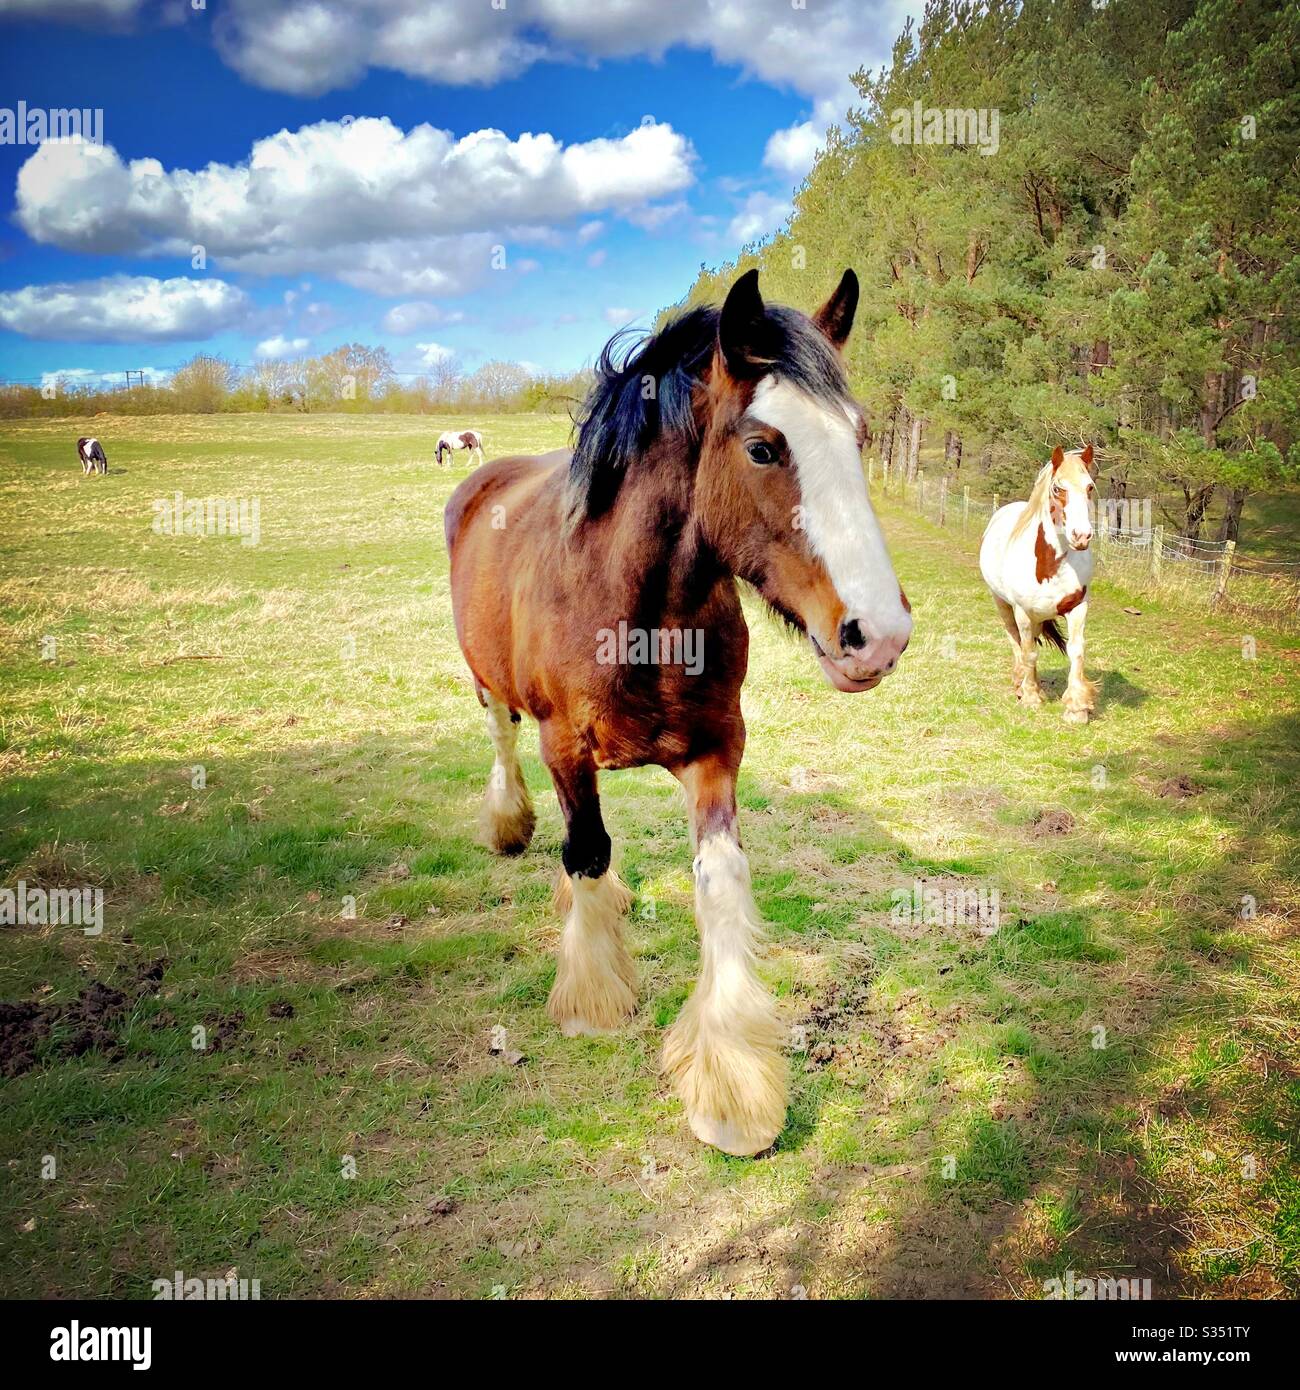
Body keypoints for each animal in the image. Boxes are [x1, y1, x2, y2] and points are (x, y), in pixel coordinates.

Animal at [445, 268, 912, 1155]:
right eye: (763, 447)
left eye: (860, 437)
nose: (880, 635)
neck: (635, 607)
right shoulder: (565, 746)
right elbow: (587, 847)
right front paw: (594, 1000)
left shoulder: (715, 752)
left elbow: (719, 882)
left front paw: (732, 1089)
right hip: (491, 687)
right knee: (503, 742)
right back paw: (510, 822)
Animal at [978, 444, 1098, 723]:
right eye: (1057, 488)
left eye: (1089, 487)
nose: (1081, 536)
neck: (1049, 566)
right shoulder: (1023, 612)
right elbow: (1029, 651)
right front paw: (1031, 697)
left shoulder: (1078, 607)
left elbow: (1076, 651)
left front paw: (1077, 708)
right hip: (1002, 604)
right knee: (1015, 640)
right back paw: (1020, 684)